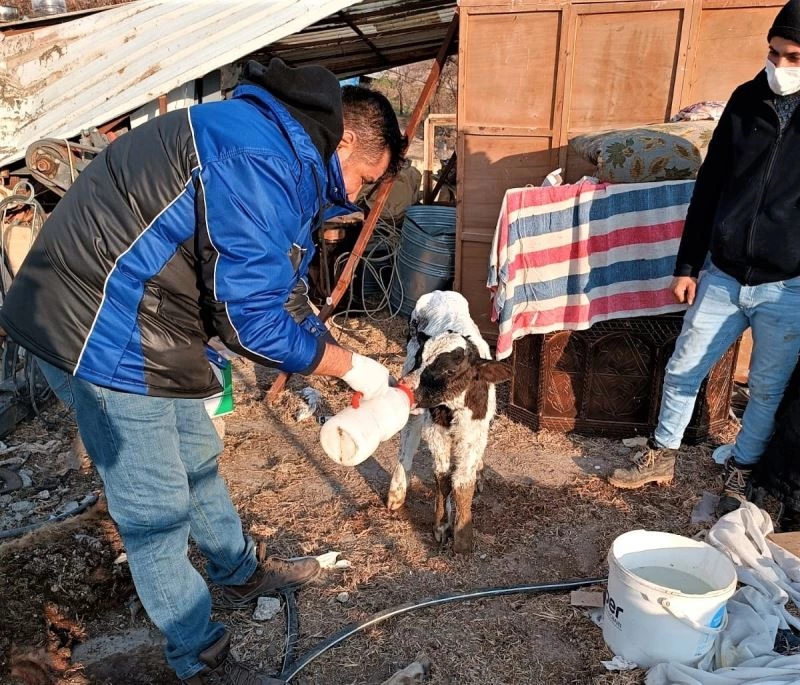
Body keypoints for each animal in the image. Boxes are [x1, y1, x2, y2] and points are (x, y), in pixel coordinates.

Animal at [390, 292, 512, 552]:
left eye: (449, 371)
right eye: (419, 359)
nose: (405, 386)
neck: (453, 408)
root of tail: (441, 293)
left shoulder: (474, 434)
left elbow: (463, 483)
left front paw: (463, 538)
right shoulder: (436, 433)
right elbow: (444, 478)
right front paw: (441, 527)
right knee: (408, 436)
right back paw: (397, 490)